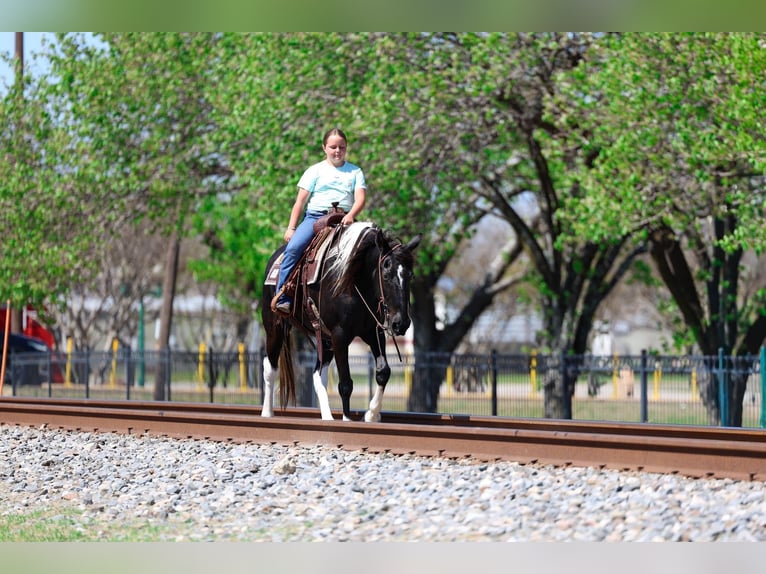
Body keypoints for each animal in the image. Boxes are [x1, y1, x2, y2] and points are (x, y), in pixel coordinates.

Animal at [260, 221, 421, 422]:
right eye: (386, 274)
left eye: (410, 275)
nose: (402, 323)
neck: (354, 282)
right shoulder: (340, 336)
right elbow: (345, 384)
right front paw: (347, 419)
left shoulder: (373, 333)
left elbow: (383, 372)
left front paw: (371, 414)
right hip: (275, 328)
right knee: (270, 368)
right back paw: (267, 413)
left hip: (325, 340)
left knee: (317, 374)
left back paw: (327, 417)